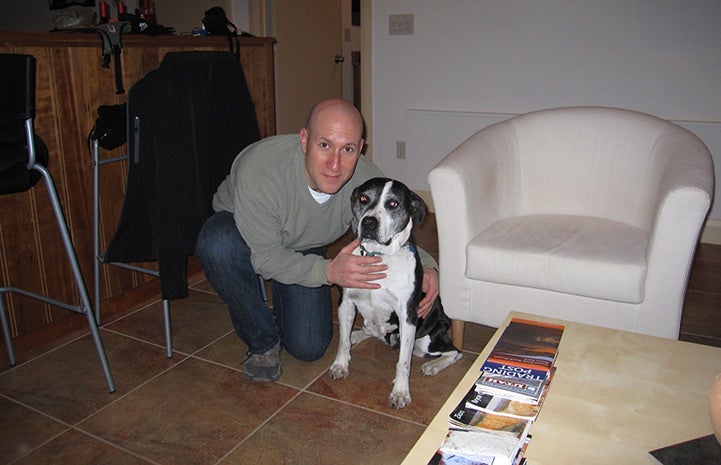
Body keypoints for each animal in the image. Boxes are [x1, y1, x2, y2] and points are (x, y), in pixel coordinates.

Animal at [330, 178, 462, 410]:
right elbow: (342, 342)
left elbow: (403, 363)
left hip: (426, 338)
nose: (369, 223)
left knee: (454, 351)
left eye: (393, 204)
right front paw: (340, 365)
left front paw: (400, 393)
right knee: (369, 331)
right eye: (363, 198)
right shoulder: (345, 303)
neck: (378, 255)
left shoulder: (407, 316)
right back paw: (357, 334)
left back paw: (433, 366)